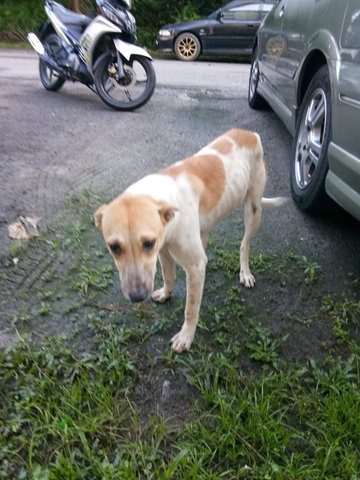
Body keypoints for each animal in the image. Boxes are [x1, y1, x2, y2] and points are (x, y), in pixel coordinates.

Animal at [94, 129, 286, 354]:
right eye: (114, 247)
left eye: (148, 243)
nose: (137, 296)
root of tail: (249, 133)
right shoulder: (164, 252)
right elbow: (169, 276)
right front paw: (166, 293)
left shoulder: (190, 263)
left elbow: (191, 308)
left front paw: (186, 336)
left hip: (253, 211)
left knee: (244, 245)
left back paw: (245, 272)